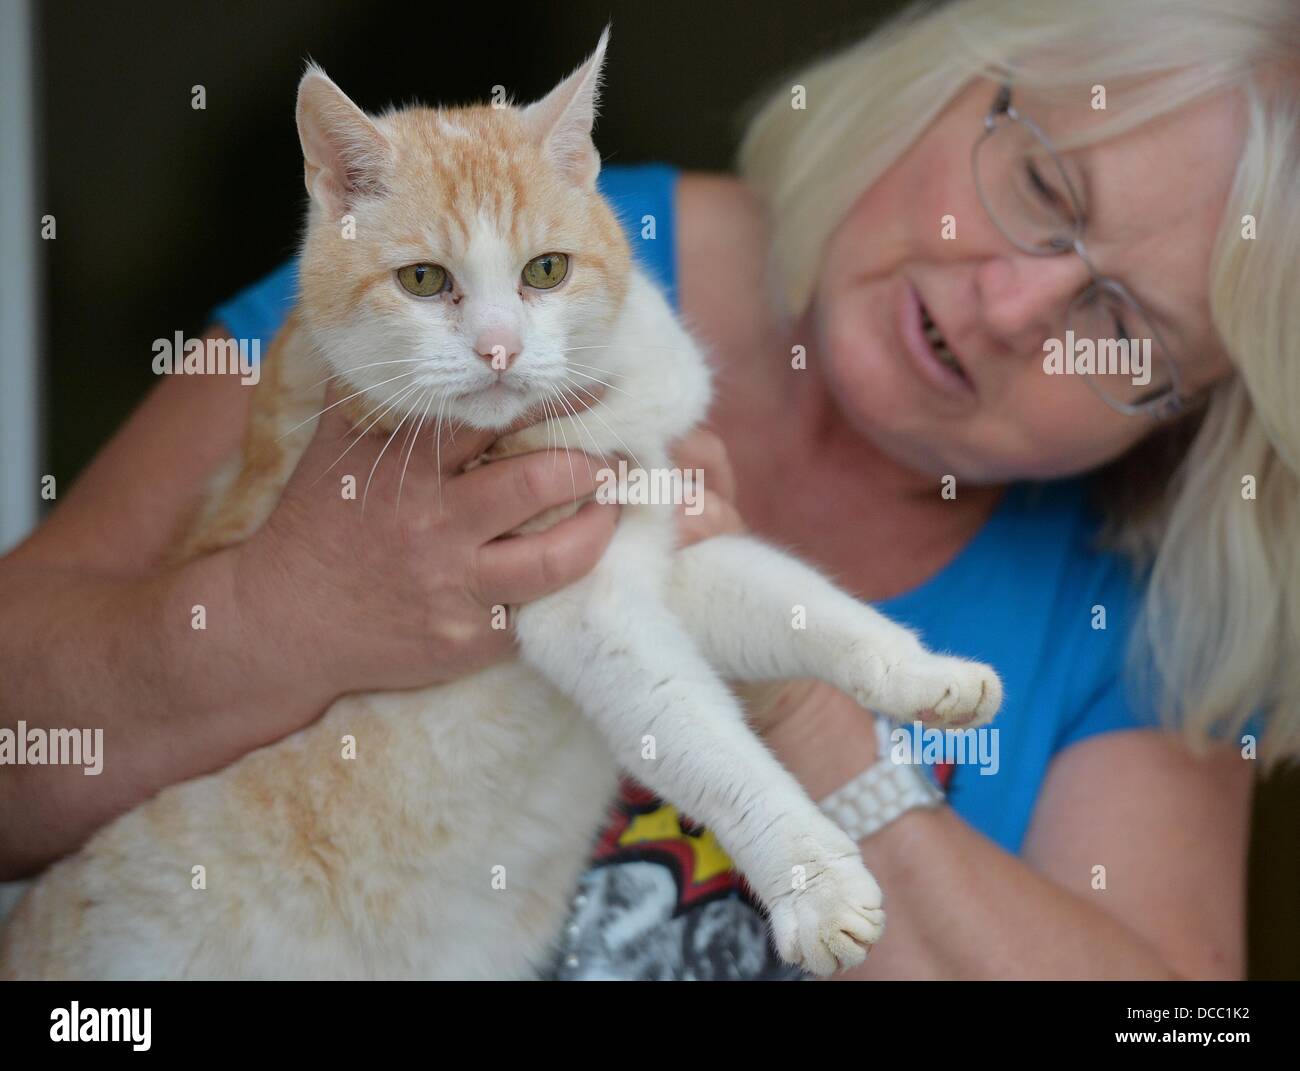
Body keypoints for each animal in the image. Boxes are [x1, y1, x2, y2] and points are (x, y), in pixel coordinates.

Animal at [0, 25, 993, 977]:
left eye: (546, 270)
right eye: (424, 280)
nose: (499, 349)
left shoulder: (664, 552)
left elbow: (810, 606)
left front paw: (927, 674)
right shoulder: (587, 610)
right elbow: (716, 749)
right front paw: (815, 888)